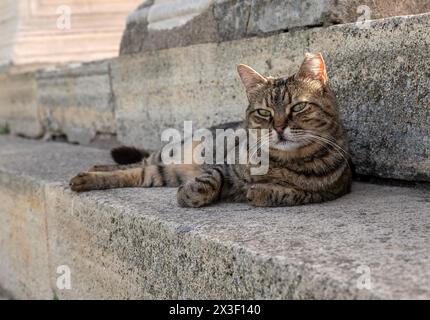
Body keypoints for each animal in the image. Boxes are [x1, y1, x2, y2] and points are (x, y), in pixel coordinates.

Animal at [69, 52, 352, 208]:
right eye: (264, 113)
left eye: (299, 107)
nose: (280, 127)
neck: (283, 161)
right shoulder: (222, 164)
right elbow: (212, 178)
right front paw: (191, 194)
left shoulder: (332, 190)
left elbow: (293, 193)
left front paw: (261, 191)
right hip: (169, 156)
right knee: (136, 163)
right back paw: (89, 173)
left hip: (162, 173)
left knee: (135, 172)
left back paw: (89, 176)